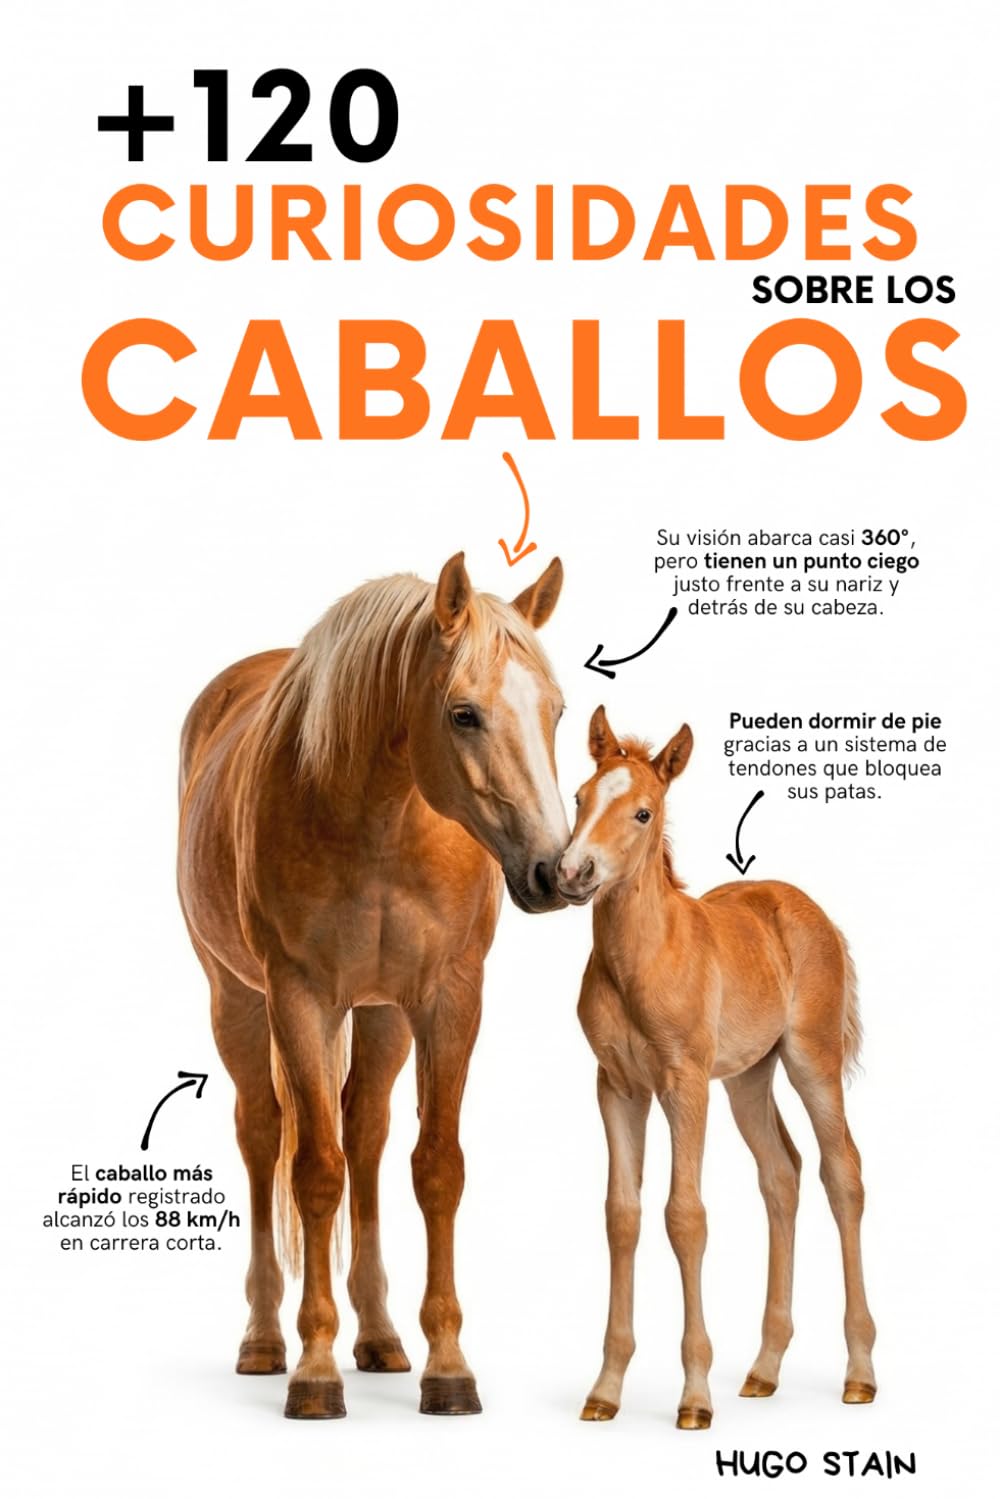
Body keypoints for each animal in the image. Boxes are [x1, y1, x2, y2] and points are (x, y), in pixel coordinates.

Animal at [177, 552, 569, 1419]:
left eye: (556, 711)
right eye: (464, 714)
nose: (555, 870)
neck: (381, 817)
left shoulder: (448, 998)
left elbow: (435, 1167)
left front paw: (447, 1365)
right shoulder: (300, 998)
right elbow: (314, 1172)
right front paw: (315, 1369)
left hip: (383, 1015)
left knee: (365, 1131)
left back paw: (383, 1335)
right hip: (238, 1000)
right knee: (265, 1134)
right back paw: (266, 1338)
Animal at [555, 707, 876, 1430]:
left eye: (643, 811)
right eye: (580, 798)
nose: (574, 871)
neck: (640, 959)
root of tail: (815, 912)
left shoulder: (685, 1084)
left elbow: (685, 1216)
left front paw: (695, 1396)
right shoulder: (617, 1087)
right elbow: (622, 1215)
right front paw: (605, 1388)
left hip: (810, 1060)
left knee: (841, 1171)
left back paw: (860, 1373)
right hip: (748, 1078)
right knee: (781, 1173)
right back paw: (764, 1368)